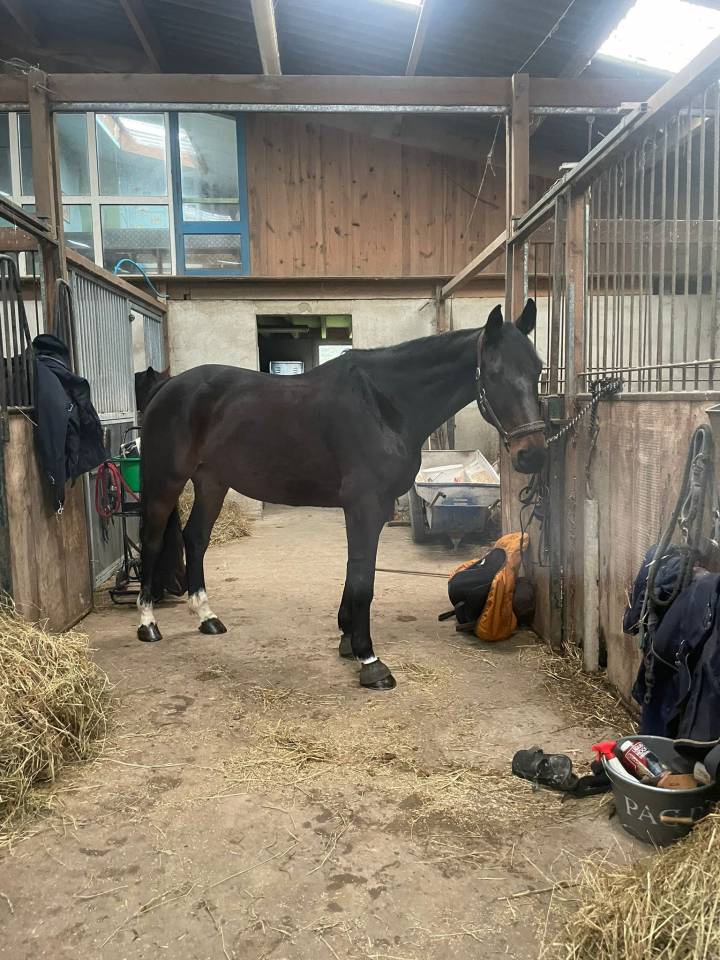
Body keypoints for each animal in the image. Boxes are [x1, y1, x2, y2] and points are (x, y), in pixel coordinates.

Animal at [136, 299, 546, 691]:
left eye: (538, 369)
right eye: (494, 373)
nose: (531, 453)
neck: (383, 404)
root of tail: (166, 389)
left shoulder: (373, 509)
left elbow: (356, 572)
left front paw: (348, 639)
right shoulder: (364, 506)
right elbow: (363, 579)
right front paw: (369, 660)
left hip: (212, 482)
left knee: (196, 538)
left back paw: (207, 617)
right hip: (165, 481)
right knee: (152, 541)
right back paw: (148, 623)